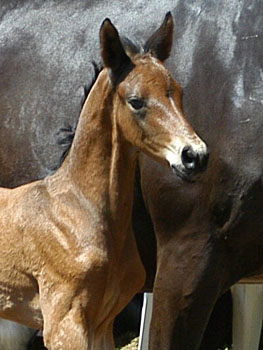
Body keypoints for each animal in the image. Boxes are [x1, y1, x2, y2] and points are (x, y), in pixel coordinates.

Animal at [0, 0, 262, 350]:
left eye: (179, 93)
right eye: (136, 101)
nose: (194, 156)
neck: (78, 206)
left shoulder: (102, 324)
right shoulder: (66, 325)